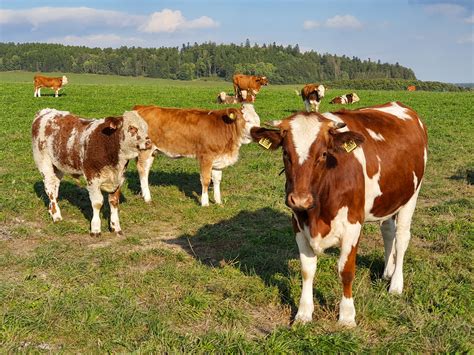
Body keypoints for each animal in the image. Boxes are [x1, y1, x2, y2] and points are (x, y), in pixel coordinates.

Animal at [132, 103, 260, 206]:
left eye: (258, 121)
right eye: (247, 120)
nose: (259, 132)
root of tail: (141, 107)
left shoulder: (218, 159)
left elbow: (217, 180)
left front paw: (218, 201)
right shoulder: (206, 157)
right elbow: (206, 180)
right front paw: (205, 203)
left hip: (152, 152)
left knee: (146, 170)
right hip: (145, 150)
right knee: (142, 170)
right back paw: (147, 198)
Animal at [252, 101, 430, 328]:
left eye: (323, 154)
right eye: (285, 153)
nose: (300, 200)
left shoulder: (352, 226)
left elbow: (346, 271)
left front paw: (346, 316)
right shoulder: (298, 224)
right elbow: (307, 270)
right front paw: (303, 313)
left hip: (411, 195)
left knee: (402, 237)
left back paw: (396, 284)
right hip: (389, 198)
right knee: (388, 231)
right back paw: (387, 272)